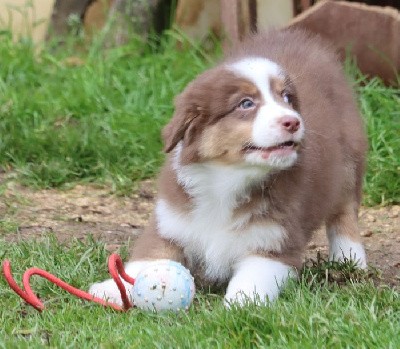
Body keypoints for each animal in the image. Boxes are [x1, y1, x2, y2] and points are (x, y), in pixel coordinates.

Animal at [89, 29, 368, 304]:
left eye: (287, 98)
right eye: (246, 103)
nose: (293, 121)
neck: (228, 179)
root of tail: (298, 36)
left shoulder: (275, 242)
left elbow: (252, 282)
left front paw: (240, 305)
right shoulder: (171, 224)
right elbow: (146, 259)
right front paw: (110, 289)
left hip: (349, 161)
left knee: (344, 212)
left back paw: (349, 258)